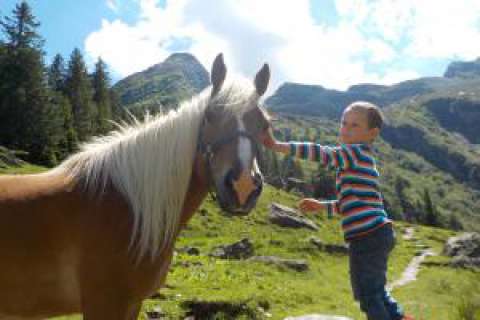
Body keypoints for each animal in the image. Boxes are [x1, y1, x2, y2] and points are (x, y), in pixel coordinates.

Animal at [0, 53, 270, 318]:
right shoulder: (106, 303)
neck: (127, 207)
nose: (243, 187)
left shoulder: (132, 304)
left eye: (264, 125)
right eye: (210, 116)